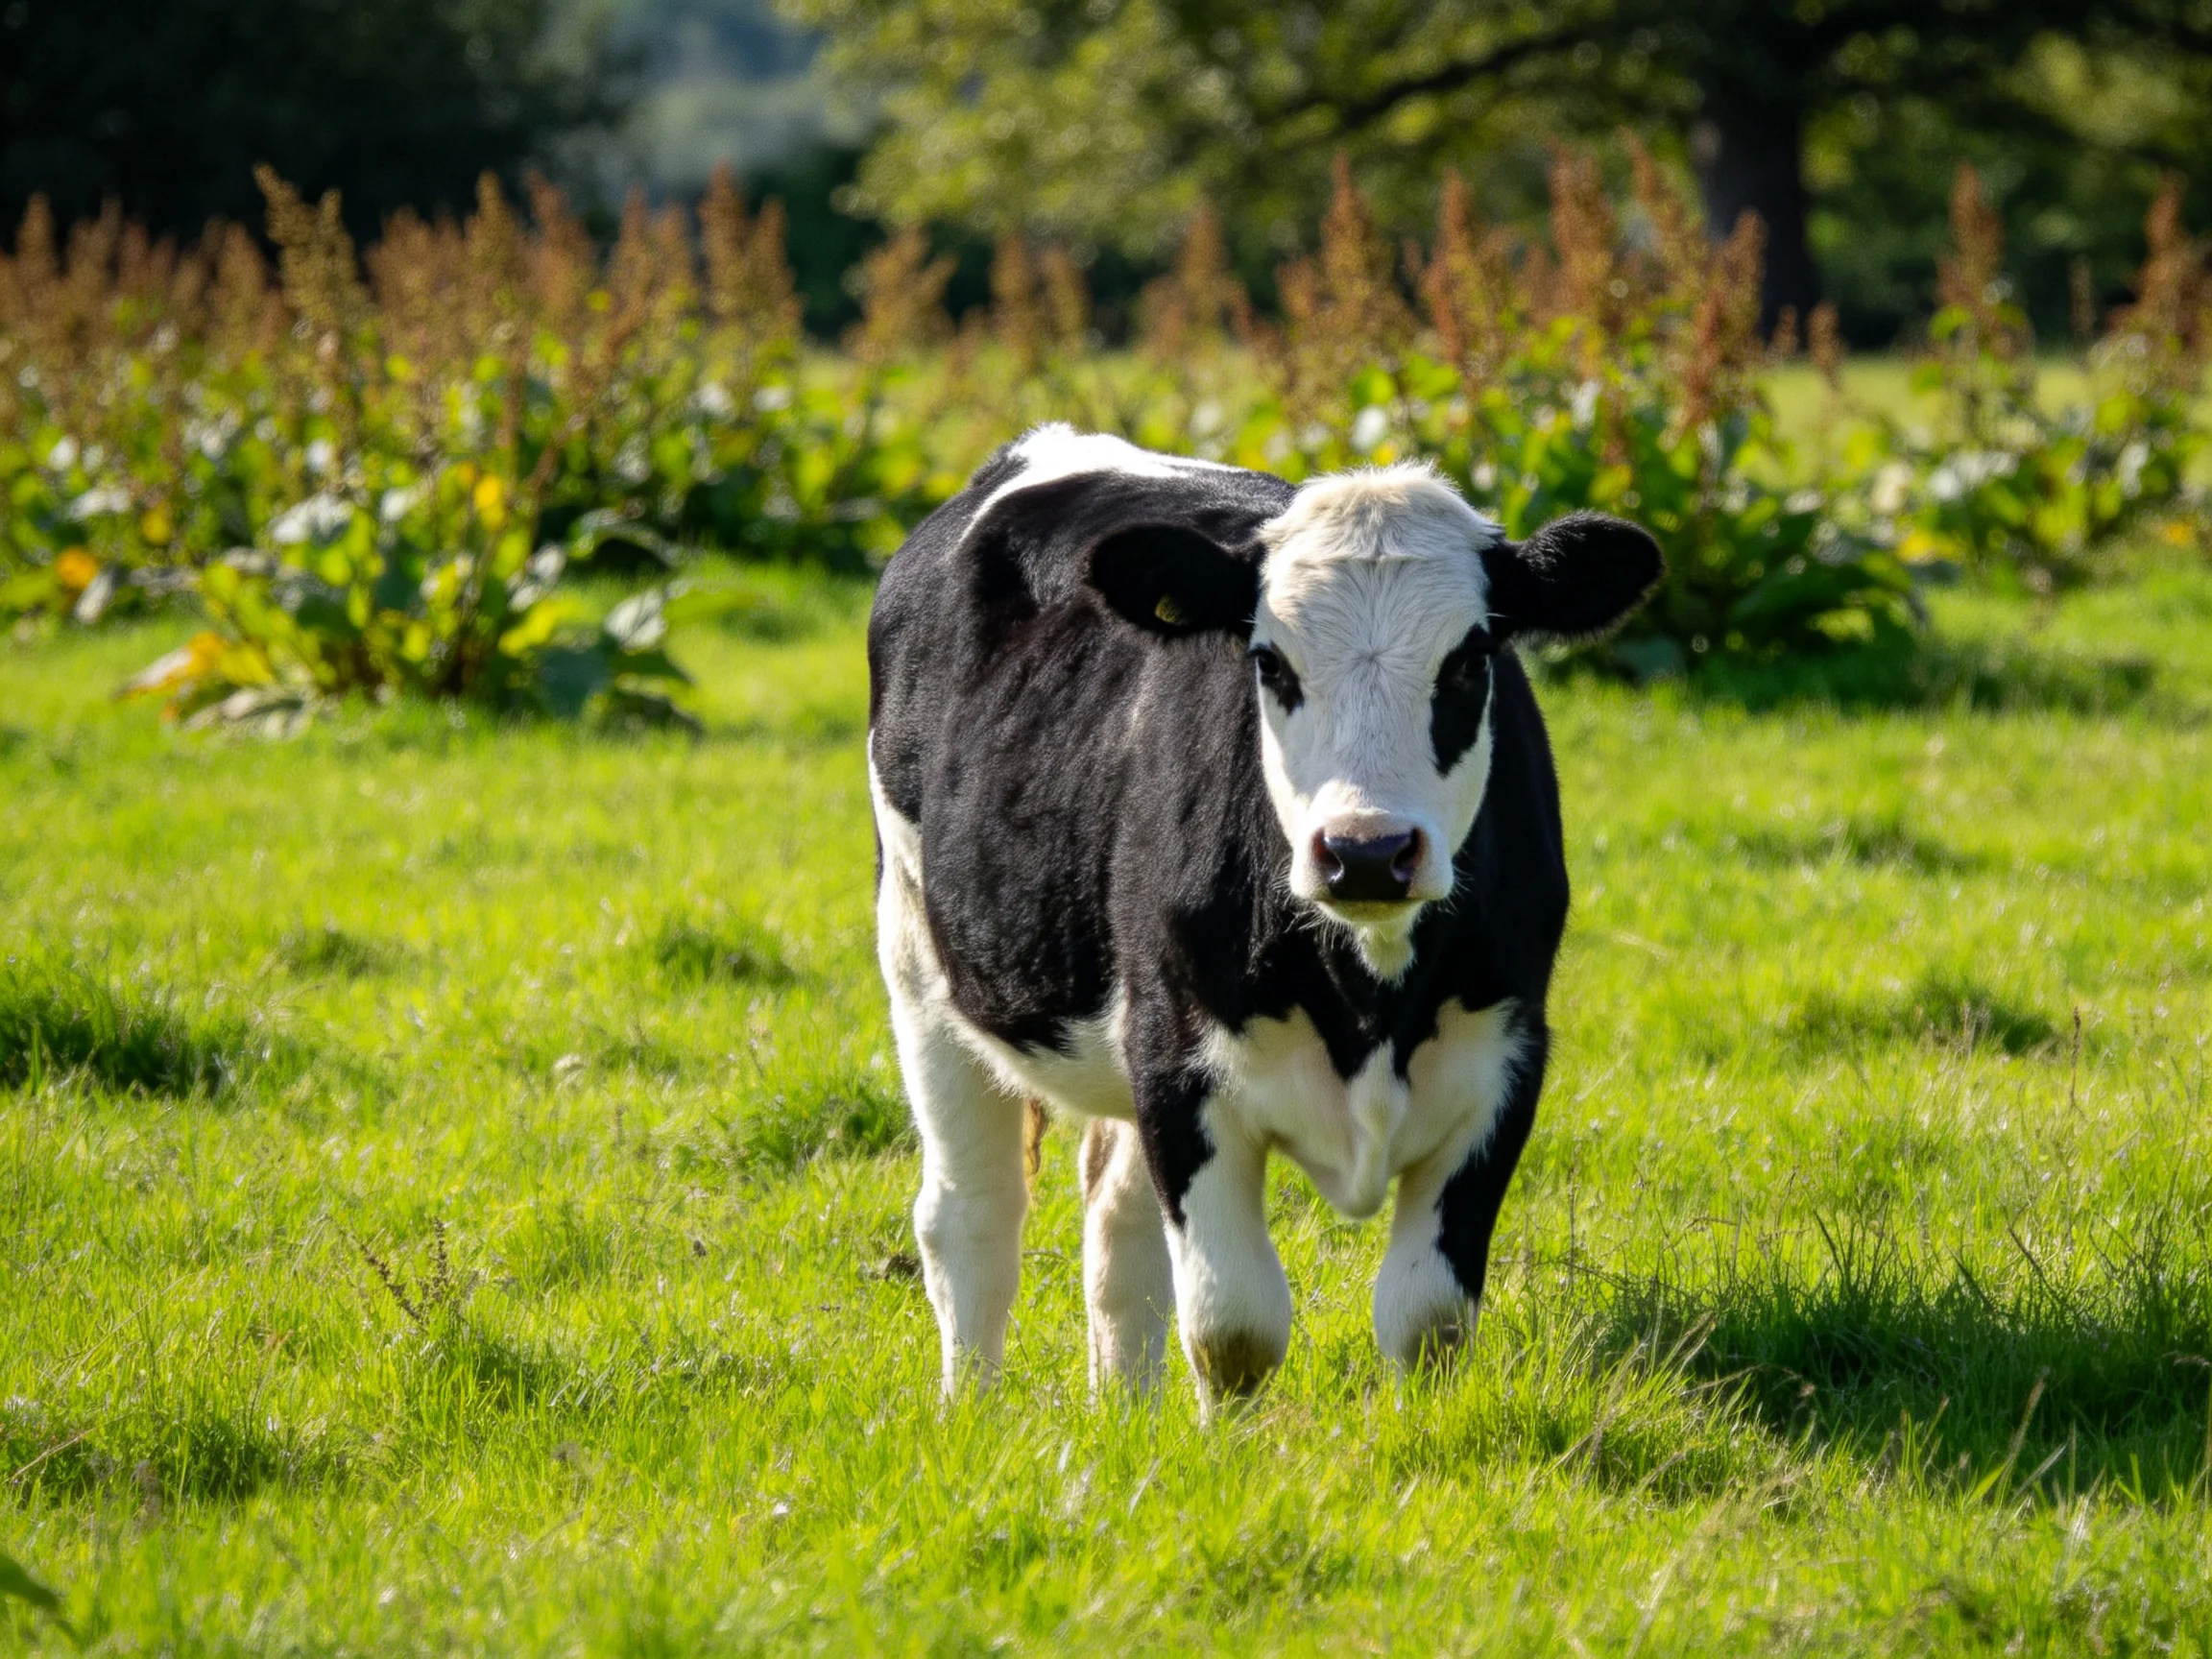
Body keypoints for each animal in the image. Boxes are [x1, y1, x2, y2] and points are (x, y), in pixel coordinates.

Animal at [867, 425, 1661, 1409]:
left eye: (1472, 660)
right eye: (1269, 661)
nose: (1367, 850)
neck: (1370, 995)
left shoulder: (1505, 1062)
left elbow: (1427, 1319)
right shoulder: (1182, 1067)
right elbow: (1235, 1328)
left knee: (1116, 1222)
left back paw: (1125, 1409)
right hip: (918, 952)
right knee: (971, 1217)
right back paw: (968, 1411)